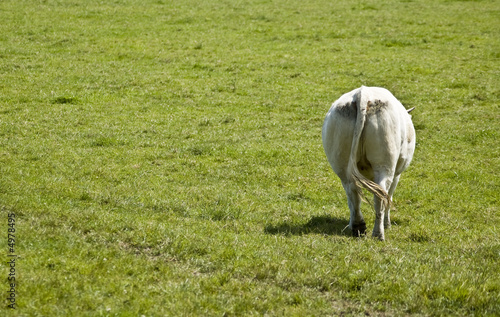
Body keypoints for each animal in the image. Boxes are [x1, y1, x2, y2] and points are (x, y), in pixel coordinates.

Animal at [322, 86, 416, 239]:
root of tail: (362, 94)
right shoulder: (397, 175)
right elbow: (389, 196)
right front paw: (387, 224)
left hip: (341, 164)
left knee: (352, 192)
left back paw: (357, 226)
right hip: (385, 164)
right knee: (380, 195)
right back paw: (378, 233)